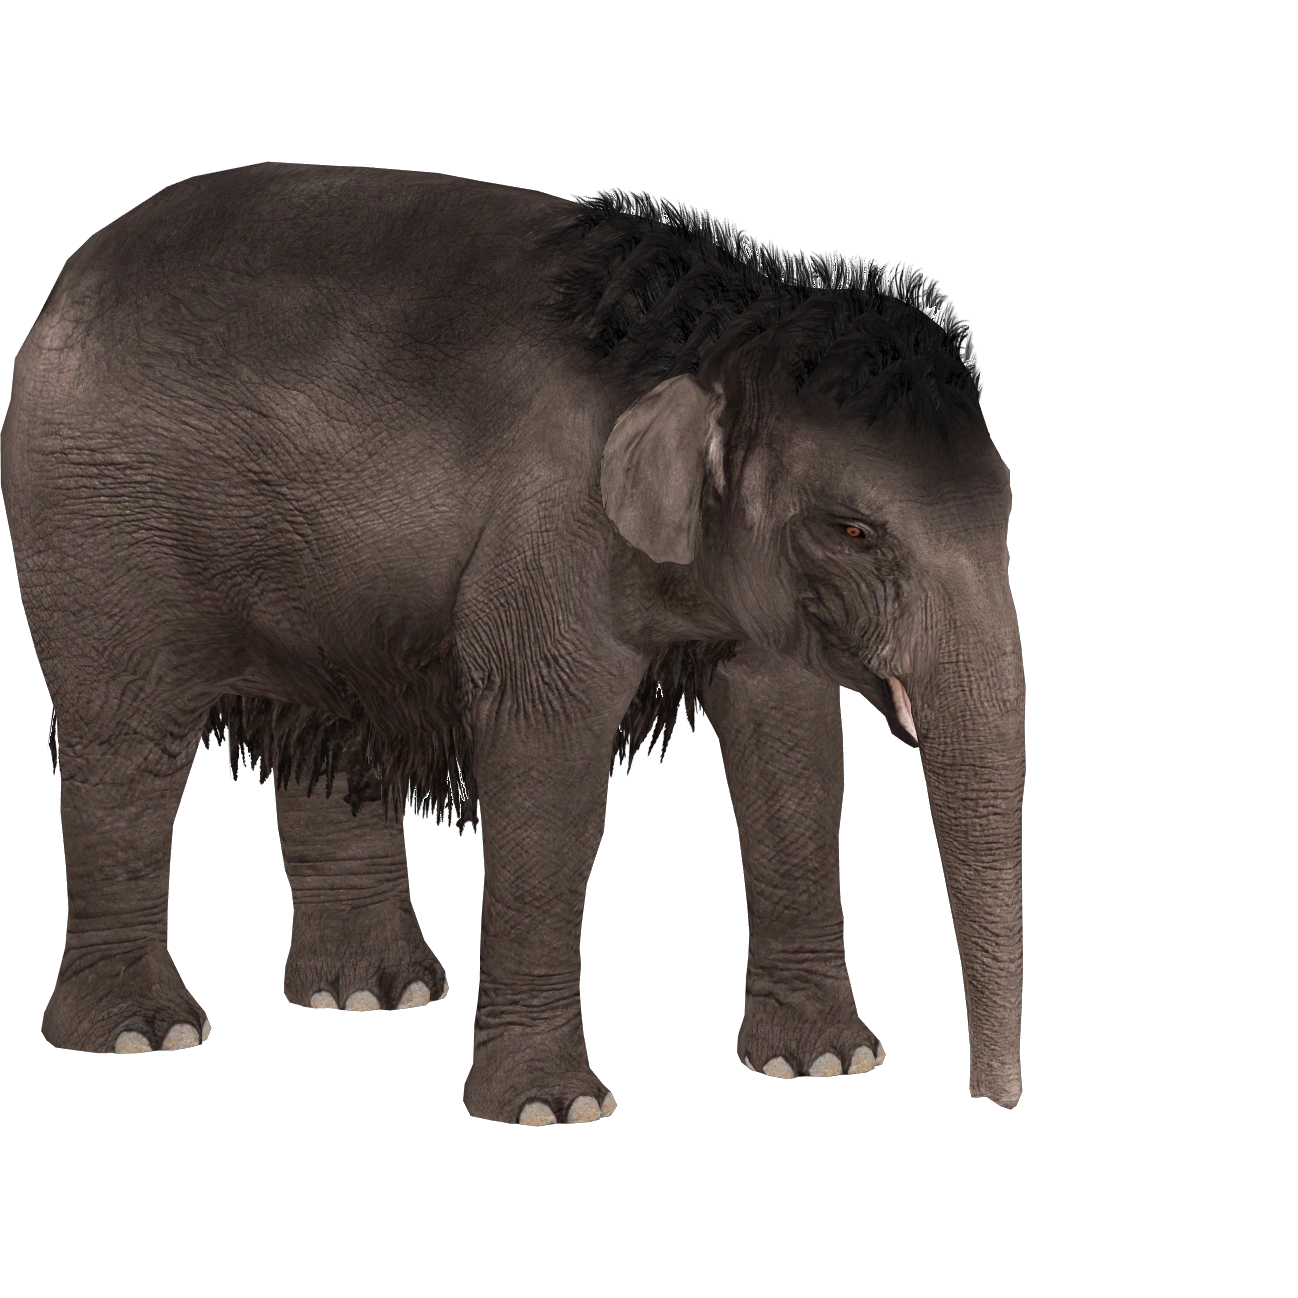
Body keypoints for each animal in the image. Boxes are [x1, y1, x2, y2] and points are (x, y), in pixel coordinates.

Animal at [4, 164, 1023, 1119]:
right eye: (854, 530)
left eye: (1007, 508)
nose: (994, 1102)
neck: (709, 337)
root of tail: (70, 280)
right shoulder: (550, 529)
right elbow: (545, 745)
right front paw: (554, 1109)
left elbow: (792, 745)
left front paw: (825, 1064)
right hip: (97, 526)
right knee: (130, 735)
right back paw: (144, 1034)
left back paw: (375, 993)